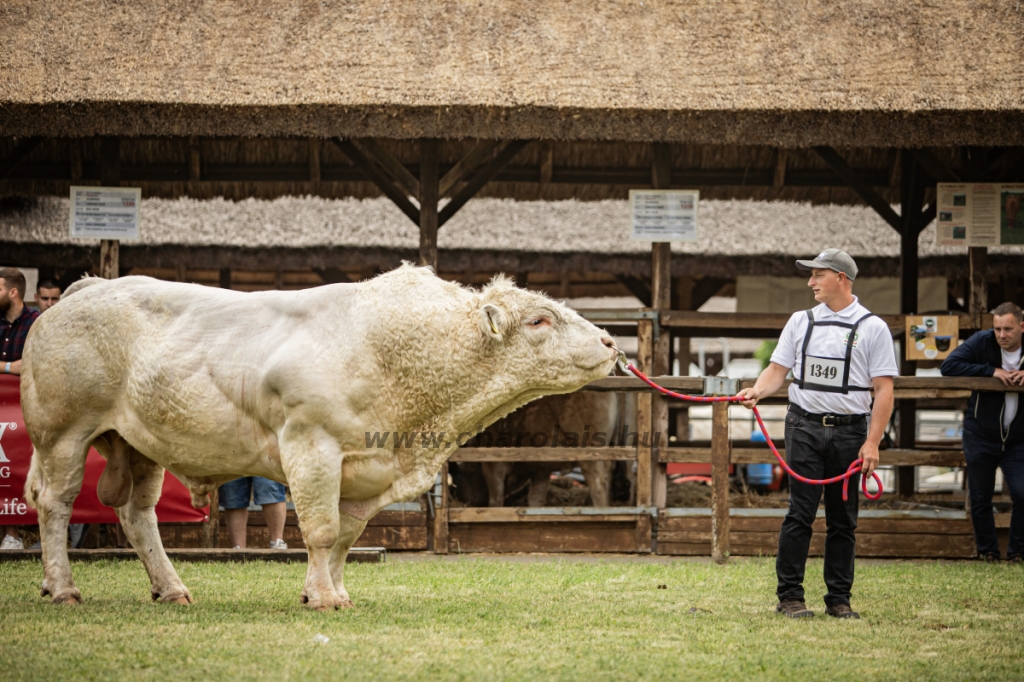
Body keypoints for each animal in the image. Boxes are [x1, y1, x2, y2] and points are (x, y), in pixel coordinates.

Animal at [22, 264, 614, 606]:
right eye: (539, 320)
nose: (611, 342)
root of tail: (89, 288)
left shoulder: (361, 472)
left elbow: (346, 538)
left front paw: (332, 591)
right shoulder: (312, 448)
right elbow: (322, 531)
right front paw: (324, 598)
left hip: (138, 445)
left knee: (136, 515)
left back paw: (170, 589)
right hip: (62, 433)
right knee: (55, 504)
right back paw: (63, 587)